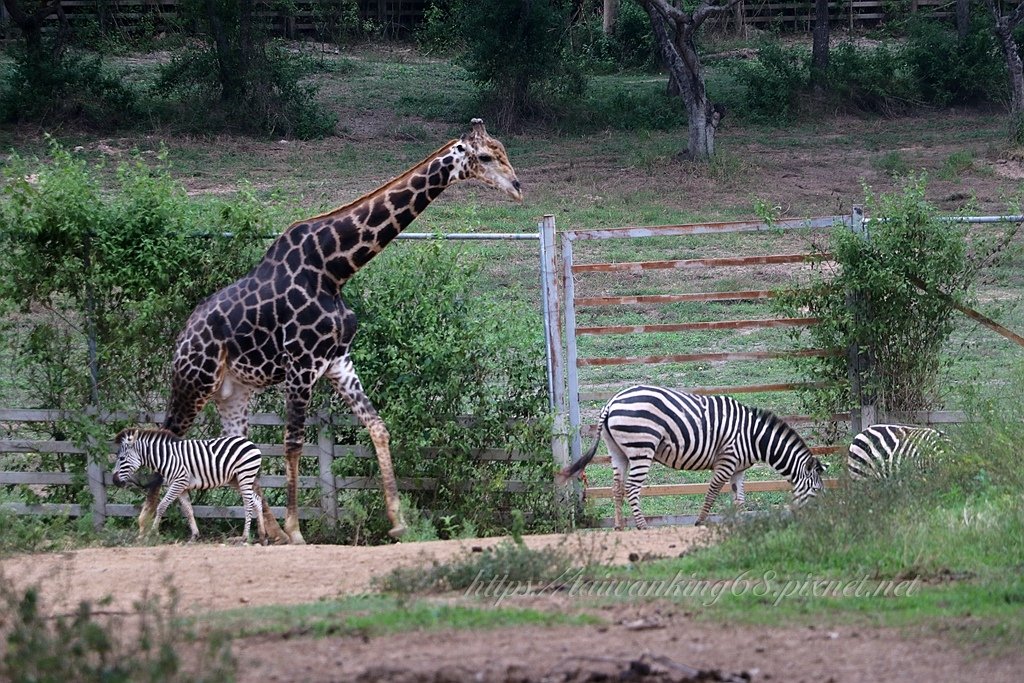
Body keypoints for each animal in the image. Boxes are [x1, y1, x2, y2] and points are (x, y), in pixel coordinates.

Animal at [112, 428, 268, 544]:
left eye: (121, 458)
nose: (114, 481)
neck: (166, 458)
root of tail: (250, 443)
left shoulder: (178, 482)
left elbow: (162, 506)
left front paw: (152, 533)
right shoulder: (182, 487)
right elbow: (188, 510)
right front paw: (194, 536)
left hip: (244, 475)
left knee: (248, 504)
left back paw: (244, 537)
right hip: (235, 479)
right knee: (256, 500)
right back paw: (262, 536)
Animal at [152, 117, 524, 544]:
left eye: (503, 151)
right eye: (485, 157)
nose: (517, 187)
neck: (335, 269)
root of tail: (181, 338)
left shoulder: (337, 362)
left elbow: (378, 427)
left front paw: (399, 522)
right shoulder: (301, 364)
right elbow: (293, 443)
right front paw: (297, 531)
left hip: (233, 391)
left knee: (235, 449)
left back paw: (267, 532)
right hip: (195, 382)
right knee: (167, 439)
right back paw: (150, 524)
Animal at [557, 385, 827, 528]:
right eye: (817, 491)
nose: (816, 519)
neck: (754, 437)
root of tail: (610, 403)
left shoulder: (739, 469)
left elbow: (739, 498)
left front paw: (740, 523)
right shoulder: (727, 460)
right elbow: (712, 492)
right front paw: (700, 522)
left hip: (618, 452)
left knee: (617, 488)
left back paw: (619, 527)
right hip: (642, 447)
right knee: (632, 488)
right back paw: (642, 527)